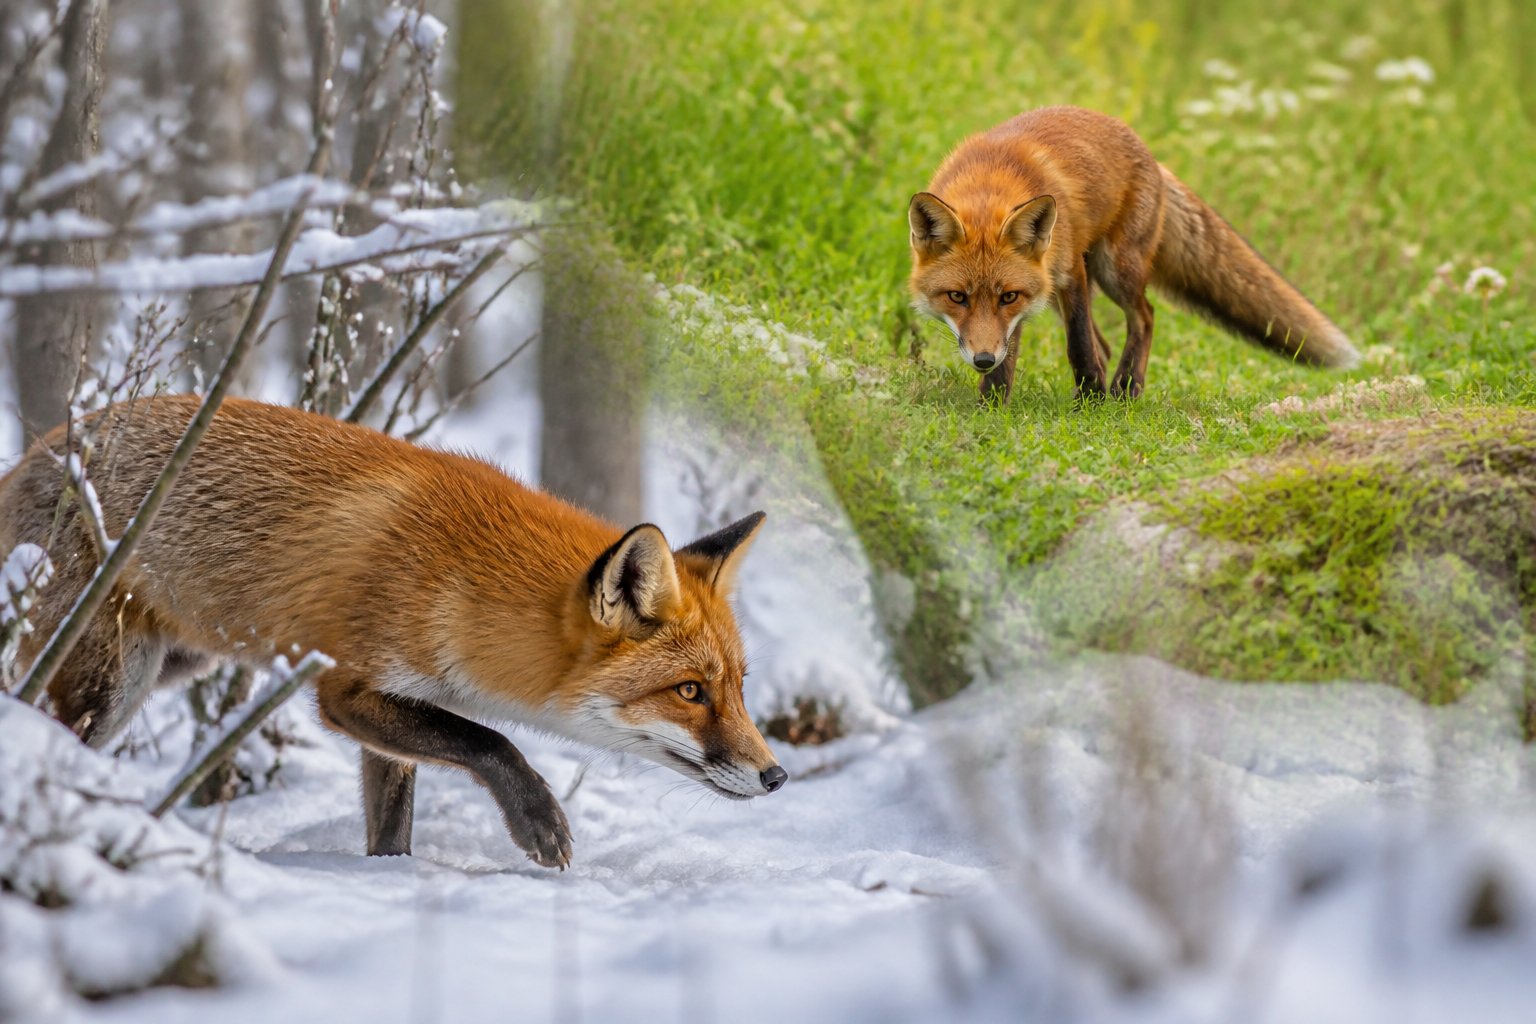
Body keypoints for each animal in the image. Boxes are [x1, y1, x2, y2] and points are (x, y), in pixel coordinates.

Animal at [0, 396, 787, 869]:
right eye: (689, 691)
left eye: (738, 688)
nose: (776, 776)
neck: (459, 577)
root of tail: (36, 450)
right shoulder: (345, 690)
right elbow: (489, 740)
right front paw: (539, 821)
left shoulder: (398, 706)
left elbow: (393, 822)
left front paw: (389, 880)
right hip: (109, 684)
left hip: (168, 667)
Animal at [907, 105, 1360, 402]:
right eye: (957, 297)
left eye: (1006, 296)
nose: (981, 359)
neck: (991, 185)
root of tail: (1154, 159)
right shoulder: (1033, 295)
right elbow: (1012, 355)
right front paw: (993, 404)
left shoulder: (1065, 272)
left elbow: (1079, 347)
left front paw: (1092, 402)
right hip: (1061, 290)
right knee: (1107, 343)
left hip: (1113, 270)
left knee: (1144, 316)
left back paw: (1125, 389)